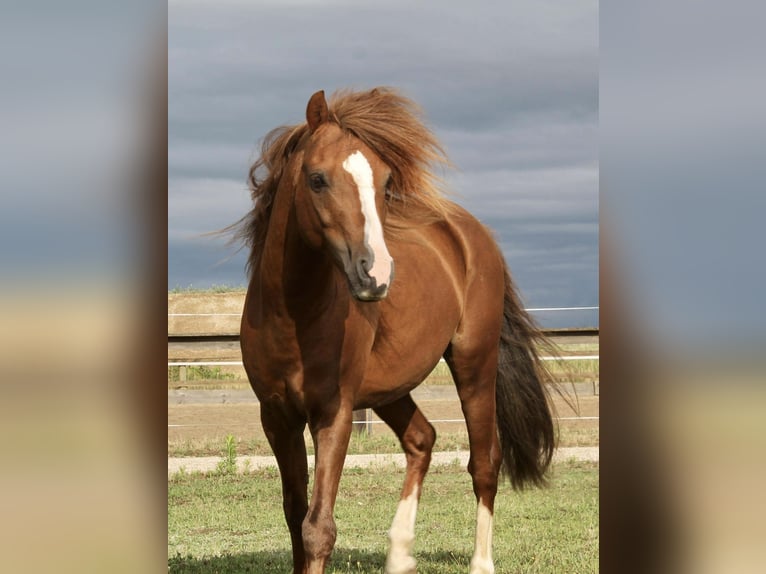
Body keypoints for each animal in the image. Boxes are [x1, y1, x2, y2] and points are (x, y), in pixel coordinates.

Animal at [237, 89, 556, 574]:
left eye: (386, 184)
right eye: (317, 179)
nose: (377, 274)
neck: (292, 317)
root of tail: (470, 233)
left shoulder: (334, 414)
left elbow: (318, 527)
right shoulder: (276, 417)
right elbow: (295, 515)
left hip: (474, 366)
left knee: (485, 463)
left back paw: (480, 563)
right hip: (390, 390)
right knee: (421, 440)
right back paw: (400, 554)